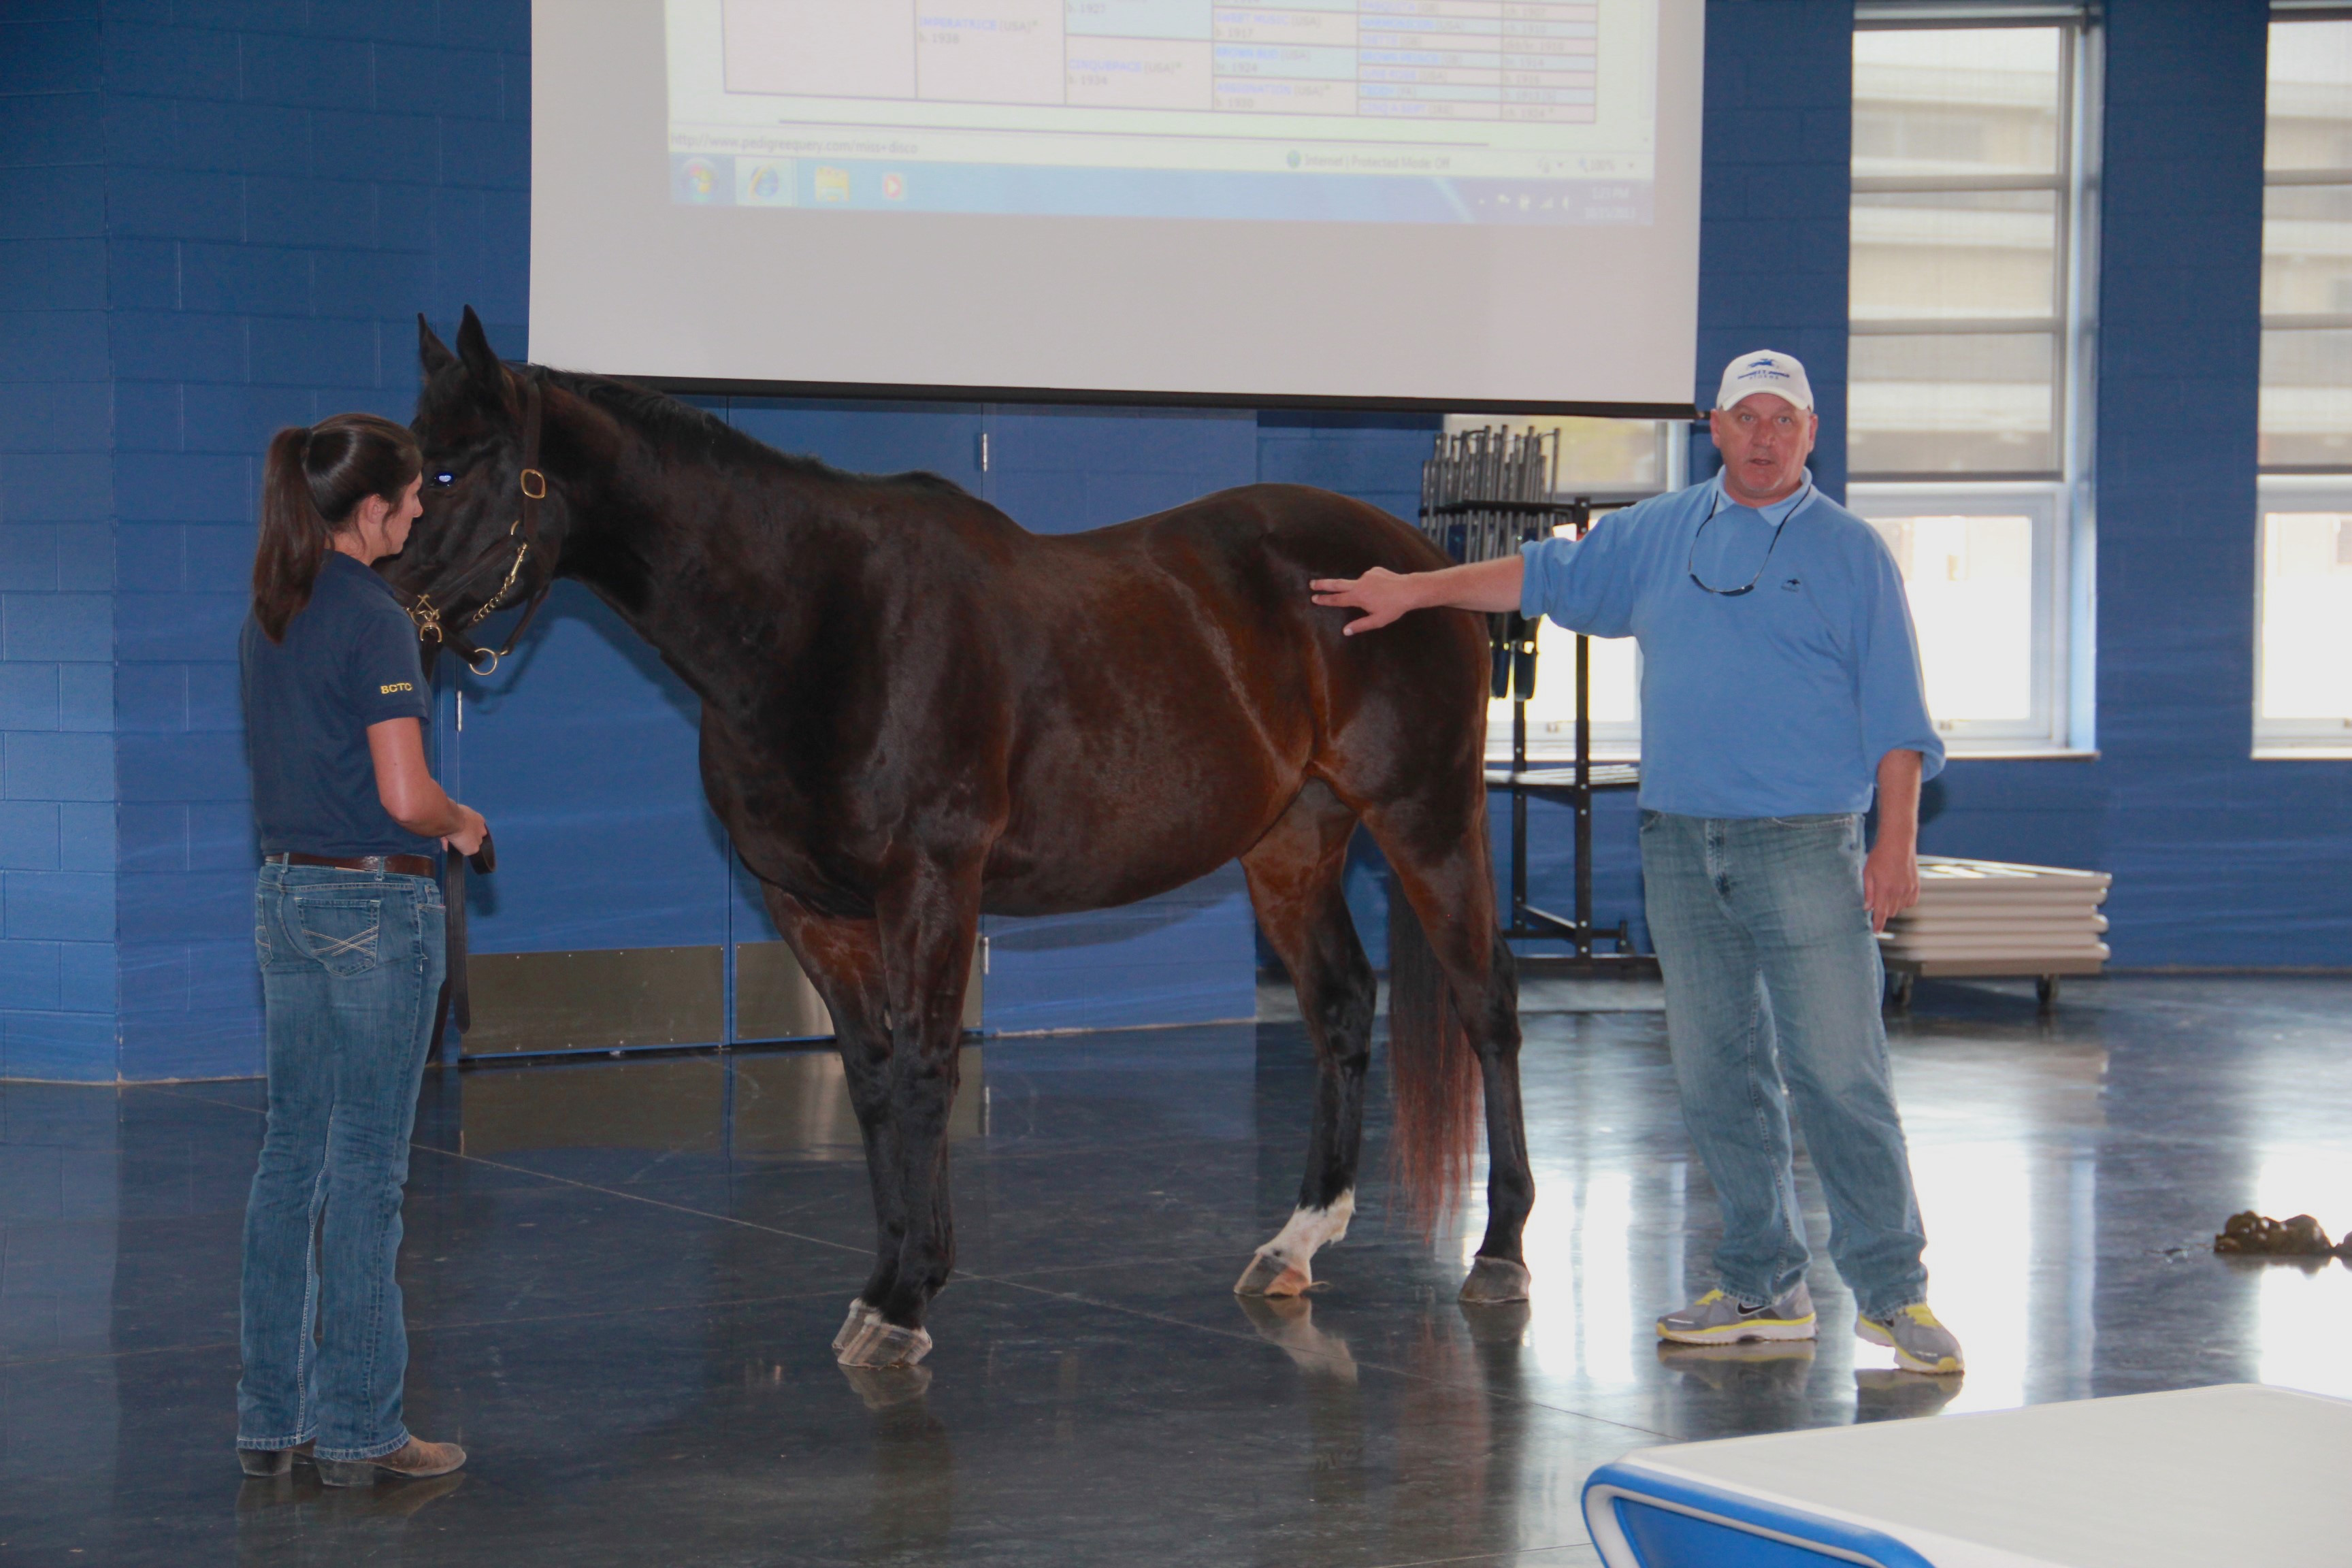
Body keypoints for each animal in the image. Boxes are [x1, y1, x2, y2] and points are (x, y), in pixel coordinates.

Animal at [395, 303, 1533, 1363]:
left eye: (451, 472)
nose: (387, 602)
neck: (818, 621)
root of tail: (1417, 564)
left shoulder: (931, 883)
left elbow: (927, 1068)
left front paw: (905, 1303)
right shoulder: (809, 908)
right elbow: (872, 1078)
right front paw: (891, 1278)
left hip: (1428, 818)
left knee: (1486, 1004)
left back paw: (1501, 1251)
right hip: (1290, 845)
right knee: (1340, 1007)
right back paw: (1295, 1243)